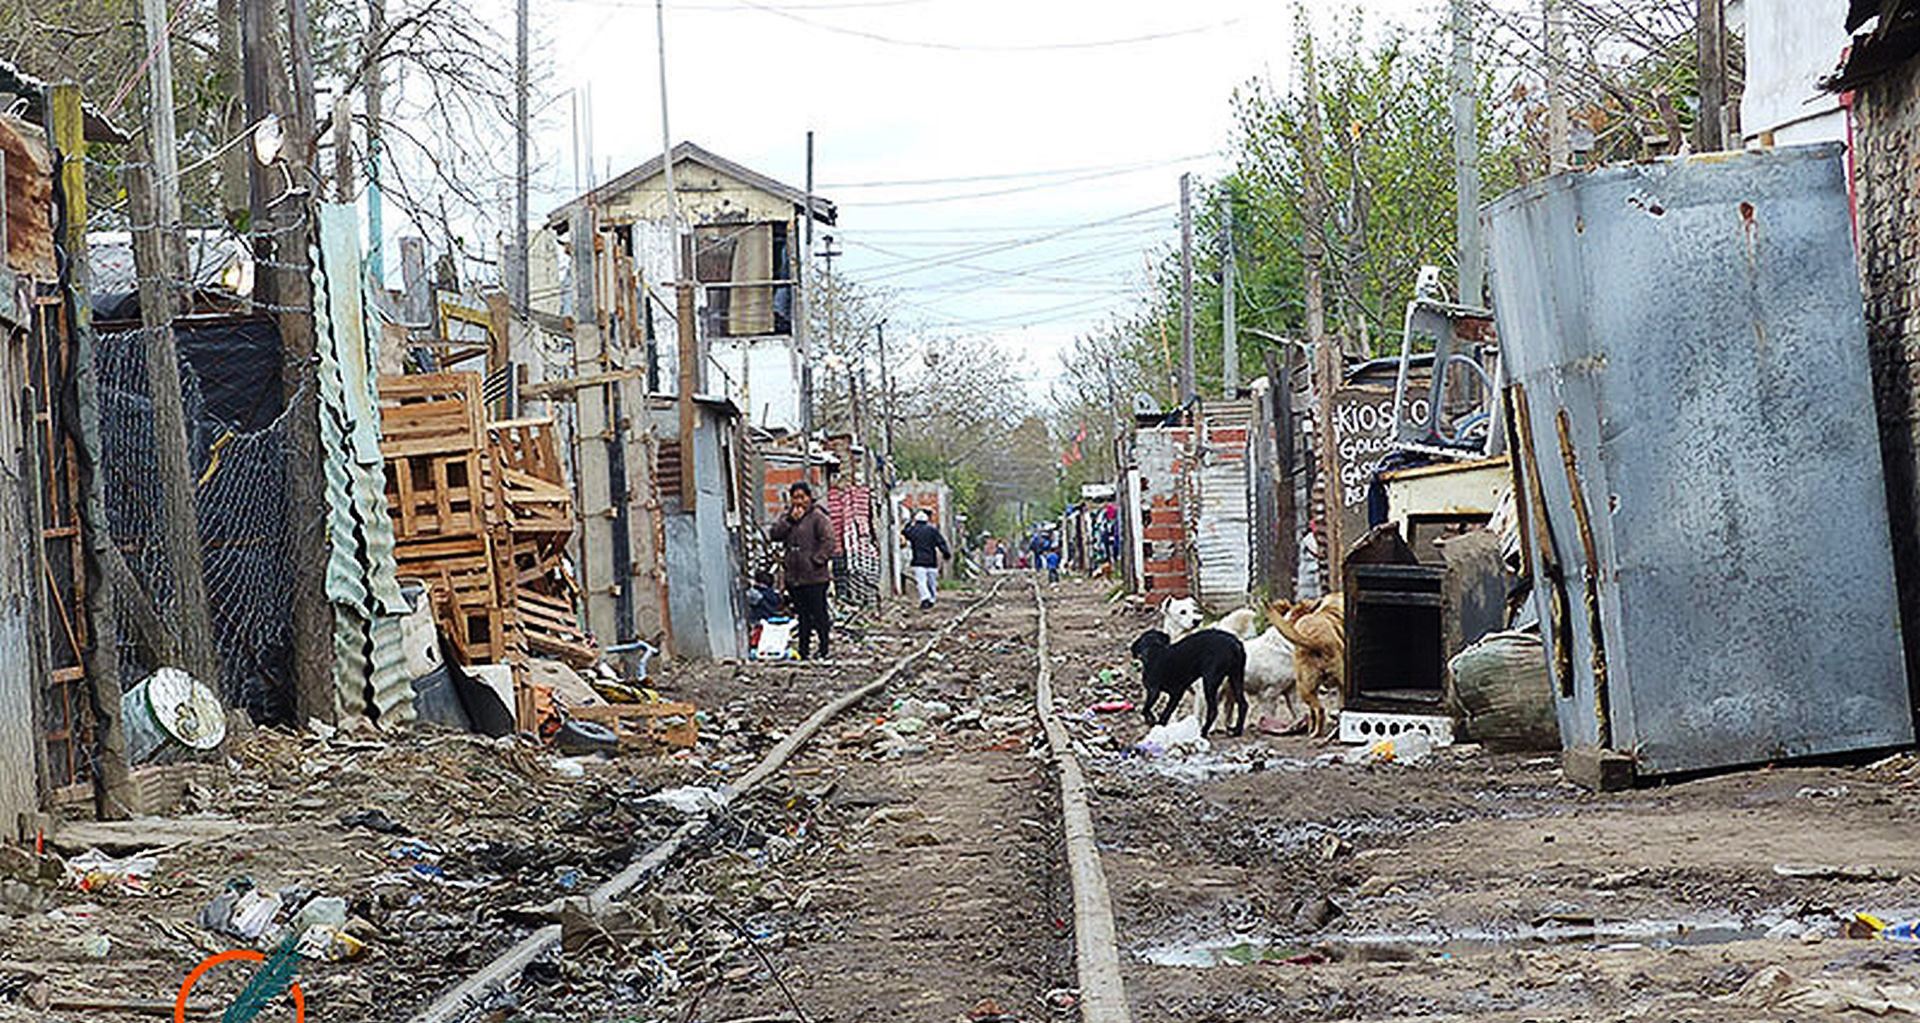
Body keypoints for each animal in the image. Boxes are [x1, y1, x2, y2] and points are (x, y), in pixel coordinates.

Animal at [1266, 593, 1347, 740]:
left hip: (1304, 688)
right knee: (1325, 709)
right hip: (1322, 687)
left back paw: (1316, 733)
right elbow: (1312, 713)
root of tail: (1316, 640)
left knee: (1320, 709)